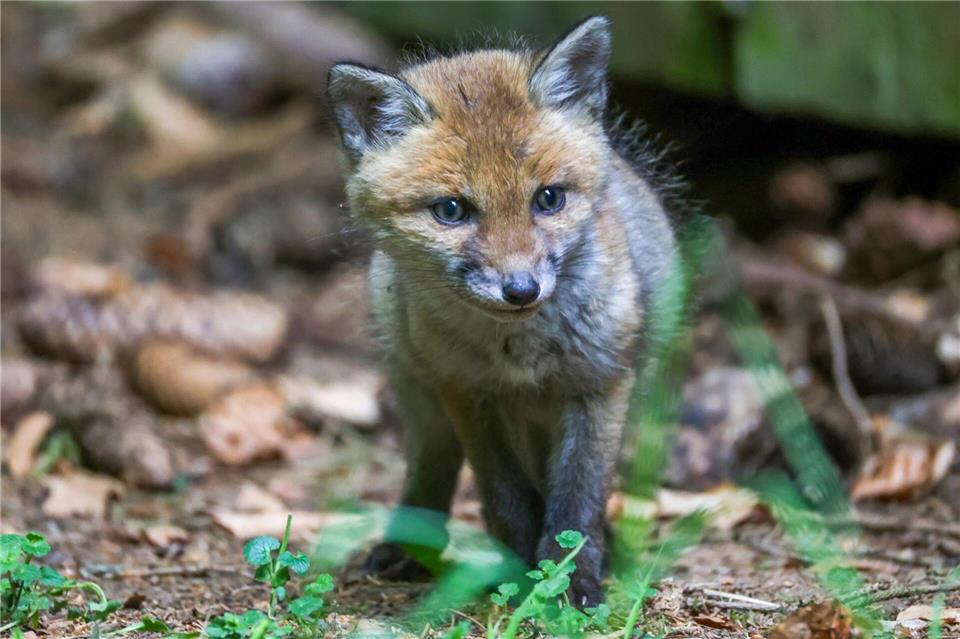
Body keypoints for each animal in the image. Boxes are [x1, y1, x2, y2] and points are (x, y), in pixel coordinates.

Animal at [326, 16, 682, 606]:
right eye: (451, 210)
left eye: (549, 199)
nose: (521, 289)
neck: (522, 353)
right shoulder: (467, 391)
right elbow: (506, 495)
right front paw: (520, 576)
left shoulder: (602, 384)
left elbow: (578, 499)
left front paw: (569, 583)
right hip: (418, 390)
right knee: (431, 471)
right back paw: (409, 547)